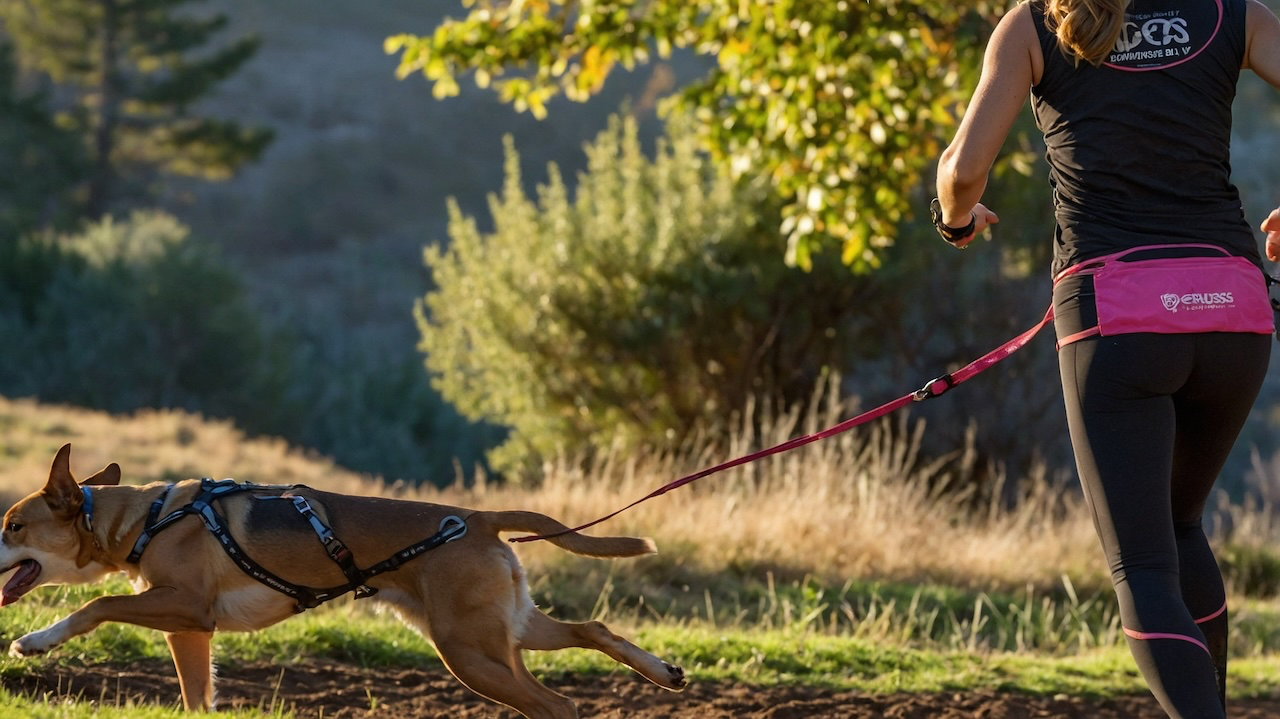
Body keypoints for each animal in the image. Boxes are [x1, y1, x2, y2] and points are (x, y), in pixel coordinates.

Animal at [0, 445, 691, 711]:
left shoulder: (187, 610)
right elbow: (198, 699)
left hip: (468, 651)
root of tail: (479, 519)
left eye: (12, 526)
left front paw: (34, 641)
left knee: (558, 703)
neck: (148, 519)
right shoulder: (190, 633)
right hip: (505, 635)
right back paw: (664, 672)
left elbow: (96, 606)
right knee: (593, 630)